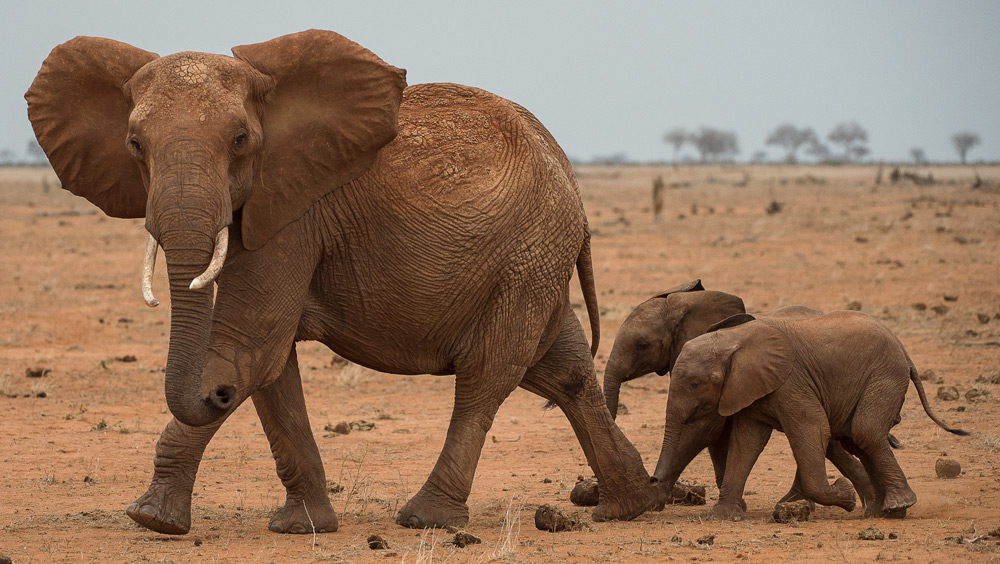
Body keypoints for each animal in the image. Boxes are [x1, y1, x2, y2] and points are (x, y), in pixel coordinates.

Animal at [25, 28, 656, 536]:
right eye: (135, 145)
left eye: (240, 141)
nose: (215, 393)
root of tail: (570, 178)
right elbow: (272, 368)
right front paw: (301, 527)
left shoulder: (294, 213)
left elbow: (252, 345)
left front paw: (151, 520)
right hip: (535, 259)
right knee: (562, 371)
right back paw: (630, 504)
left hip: (528, 253)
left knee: (488, 374)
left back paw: (425, 519)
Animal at [656, 308, 968, 520]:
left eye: (695, 384)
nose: (654, 482)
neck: (734, 339)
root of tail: (903, 349)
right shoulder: (749, 388)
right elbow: (746, 443)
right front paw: (722, 517)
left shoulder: (791, 381)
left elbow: (814, 428)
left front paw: (846, 495)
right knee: (858, 439)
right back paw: (882, 512)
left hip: (885, 376)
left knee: (865, 431)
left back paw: (895, 506)